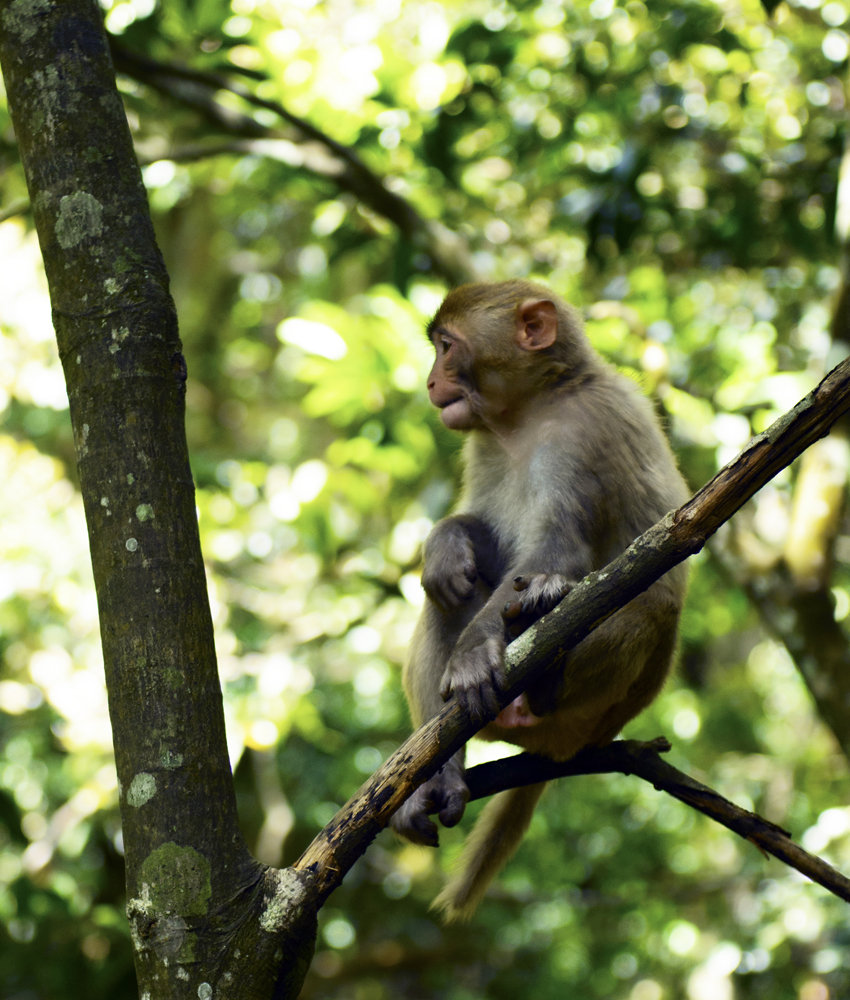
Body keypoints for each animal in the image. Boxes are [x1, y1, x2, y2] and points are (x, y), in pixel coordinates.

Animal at [390, 280, 688, 920]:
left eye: (446, 346)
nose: (430, 381)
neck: (526, 413)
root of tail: (563, 748)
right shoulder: (483, 446)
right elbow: (481, 541)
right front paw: (446, 545)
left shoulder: (581, 431)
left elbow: (554, 555)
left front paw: (475, 651)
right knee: (445, 601)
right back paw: (438, 779)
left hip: (595, 715)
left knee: (645, 606)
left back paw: (541, 679)